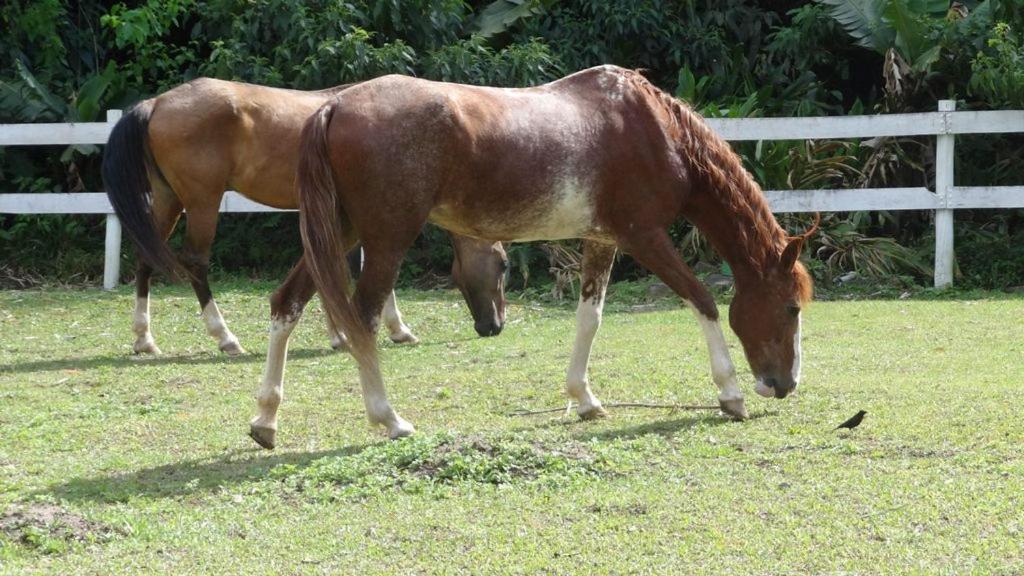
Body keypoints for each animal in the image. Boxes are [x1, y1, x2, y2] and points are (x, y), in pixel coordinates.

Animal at [99, 78, 507, 356]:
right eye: (503, 264)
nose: (494, 325)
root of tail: (157, 103)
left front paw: (342, 334)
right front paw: (388, 330)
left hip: (168, 200)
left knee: (146, 258)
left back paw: (144, 339)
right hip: (202, 203)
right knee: (196, 262)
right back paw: (225, 338)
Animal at [266, 65, 815, 444]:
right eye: (792, 308)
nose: (785, 383)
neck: (656, 130)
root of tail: (335, 106)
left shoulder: (603, 240)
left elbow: (590, 318)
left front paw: (584, 398)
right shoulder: (644, 237)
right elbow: (702, 300)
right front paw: (731, 394)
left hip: (340, 233)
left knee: (286, 304)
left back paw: (264, 419)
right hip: (384, 239)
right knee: (362, 320)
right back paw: (391, 419)